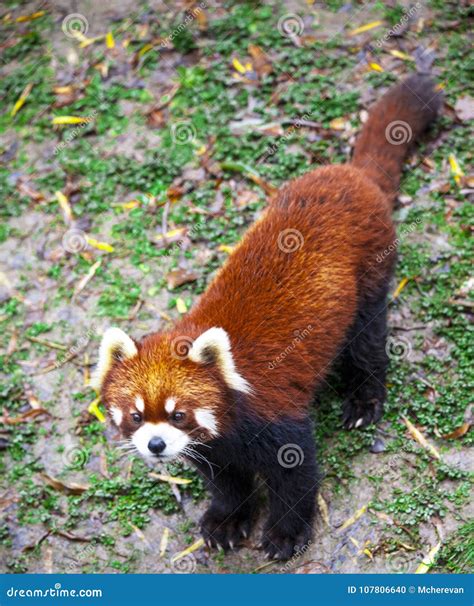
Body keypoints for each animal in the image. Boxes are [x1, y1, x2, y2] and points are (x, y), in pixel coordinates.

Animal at [91, 77, 440, 564]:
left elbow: (295, 475)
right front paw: (226, 519)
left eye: (178, 415)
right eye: (137, 416)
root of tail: (351, 175)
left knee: (368, 342)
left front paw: (284, 534)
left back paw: (364, 400)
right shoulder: (214, 448)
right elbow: (226, 481)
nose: (156, 446)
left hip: (369, 281)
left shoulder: (274, 414)